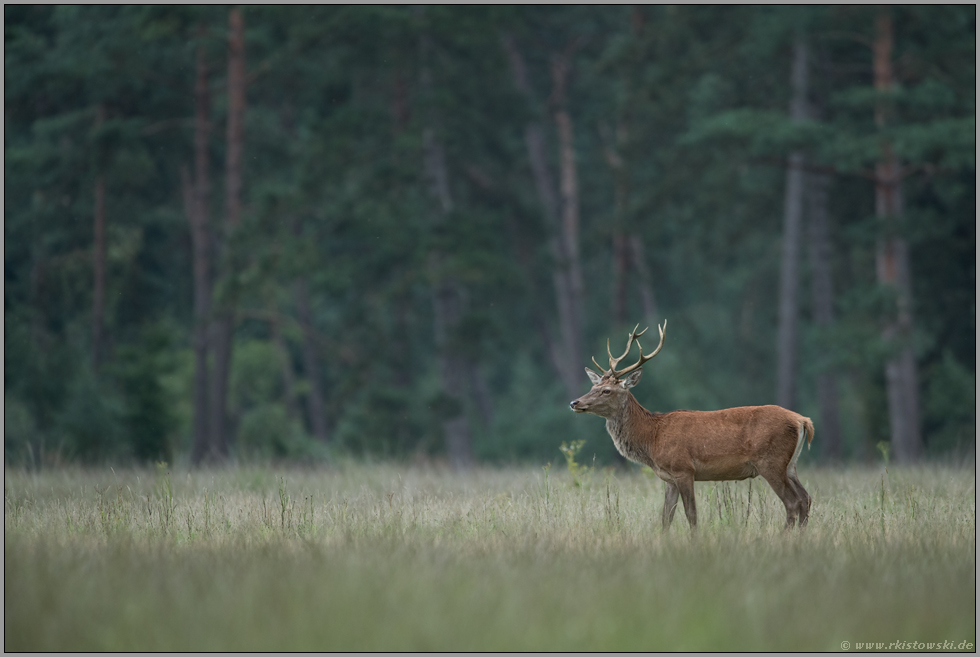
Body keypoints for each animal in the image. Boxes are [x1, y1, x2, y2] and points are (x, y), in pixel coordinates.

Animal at [568, 320, 812, 532]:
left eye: (606, 390)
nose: (574, 402)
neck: (652, 438)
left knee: (792, 502)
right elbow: (666, 517)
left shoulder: (683, 468)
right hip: (790, 465)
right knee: (806, 498)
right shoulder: (669, 478)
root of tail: (803, 421)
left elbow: (691, 514)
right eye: (593, 386)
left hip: (771, 461)